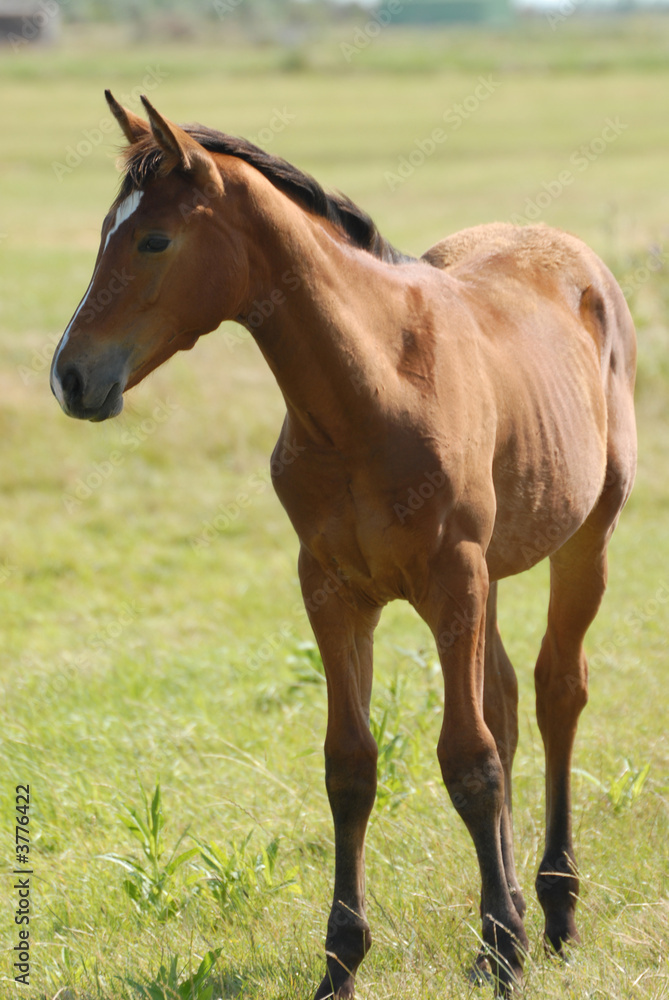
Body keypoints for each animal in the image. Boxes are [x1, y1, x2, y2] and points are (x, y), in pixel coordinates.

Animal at [49, 92, 636, 992]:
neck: (373, 392)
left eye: (153, 240)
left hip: (582, 539)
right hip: (493, 571)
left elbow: (469, 761)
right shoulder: (331, 587)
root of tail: (566, 250)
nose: (71, 377)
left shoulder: (450, 576)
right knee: (504, 701)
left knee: (553, 693)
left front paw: (507, 949)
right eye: (106, 231)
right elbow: (351, 766)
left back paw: (554, 909)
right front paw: (343, 962)